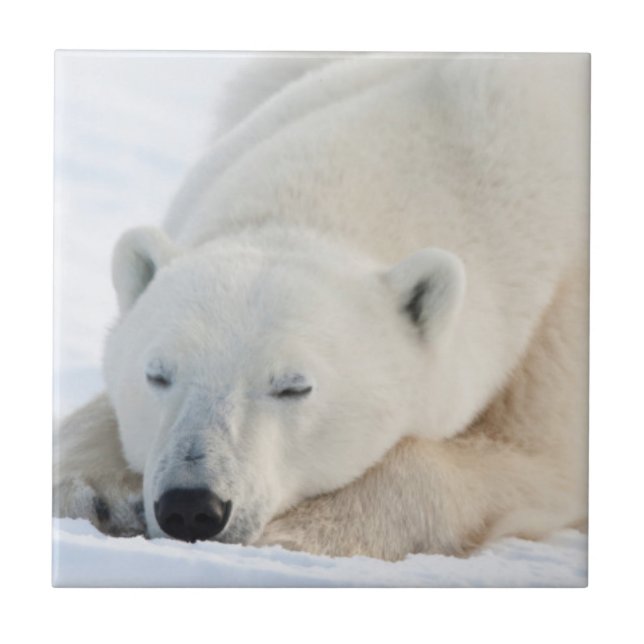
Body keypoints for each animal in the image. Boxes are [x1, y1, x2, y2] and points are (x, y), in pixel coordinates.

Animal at [54, 54, 589, 561]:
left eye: (294, 387)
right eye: (158, 375)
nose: (190, 506)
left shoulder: (556, 330)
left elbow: (532, 463)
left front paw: (301, 532)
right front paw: (92, 493)